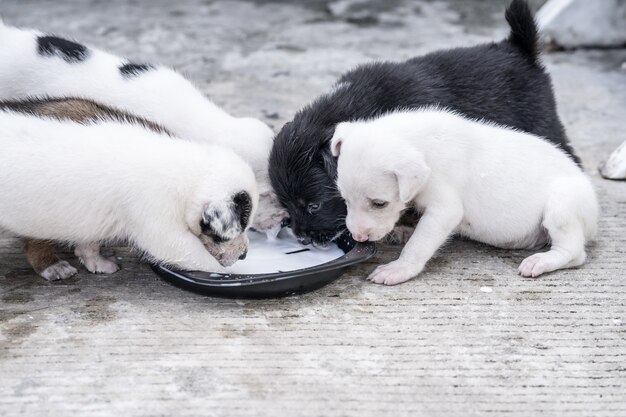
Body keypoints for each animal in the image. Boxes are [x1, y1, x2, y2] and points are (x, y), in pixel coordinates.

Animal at [0, 109, 258, 274]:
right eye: (241, 226)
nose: (244, 255)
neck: (187, 173)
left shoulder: (91, 220)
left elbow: (89, 243)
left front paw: (96, 261)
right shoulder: (162, 229)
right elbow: (199, 258)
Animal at [330, 107, 596, 284]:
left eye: (379, 204)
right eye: (345, 199)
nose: (358, 236)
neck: (422, 143)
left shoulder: (444, 209)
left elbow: (418, 244)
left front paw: (399, 268)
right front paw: (403, 231)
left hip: (562, 204)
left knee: (573, 252)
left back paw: (541, 261)